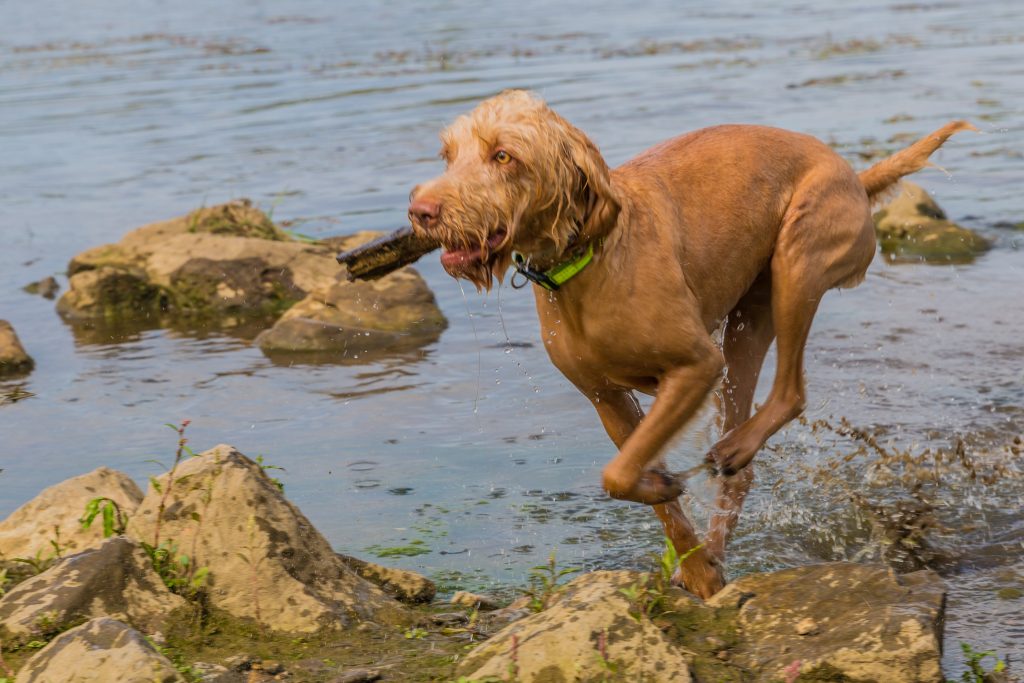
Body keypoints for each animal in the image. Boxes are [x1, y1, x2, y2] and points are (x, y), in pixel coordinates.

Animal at [405, 90, 966, 598]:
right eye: (448, 155)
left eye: (504, 156)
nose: (420, 211)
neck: (586, 261)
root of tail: (852, 172)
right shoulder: (606, 398)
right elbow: (638, 484)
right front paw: (696, 565)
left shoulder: (696, 367)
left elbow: (617, 473)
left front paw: (669, 498)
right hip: (748, 322)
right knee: (744, 462)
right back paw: (721, 523)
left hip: (797, 262)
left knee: (791, 392)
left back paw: (734, 448)